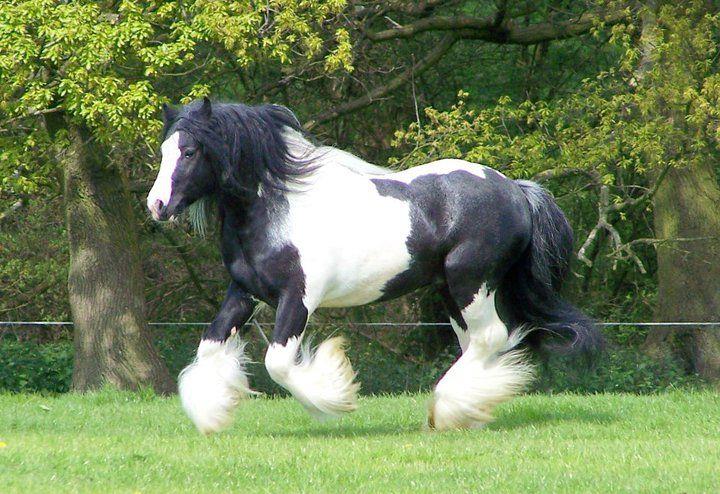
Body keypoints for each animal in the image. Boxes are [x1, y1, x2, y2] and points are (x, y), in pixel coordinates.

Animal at [148, 98, 600, 434]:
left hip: (471, 282)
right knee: (478, 343)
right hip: (450, 292)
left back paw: (444, 410)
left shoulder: (298, 299)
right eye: (164, 151)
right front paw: (212, 415)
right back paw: (466, 412)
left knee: (491, 337)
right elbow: (209, 346)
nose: (157, 205)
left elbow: (278, 363)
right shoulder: (244, 294)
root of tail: (516, 191)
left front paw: (336, 395)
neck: (277, 208)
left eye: (189, 151)